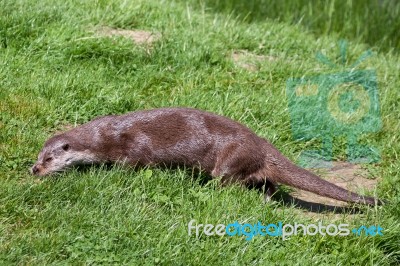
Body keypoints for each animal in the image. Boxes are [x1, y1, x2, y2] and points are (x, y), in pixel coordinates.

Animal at [31, 107, 382, 206]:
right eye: (38, 156)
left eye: (49, 159)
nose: (35, 170)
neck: (104, 137)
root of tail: (265, 146)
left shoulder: (132, 148)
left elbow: (131, 164)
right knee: (267, 182)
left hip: (231, 159)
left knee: (231, 181)